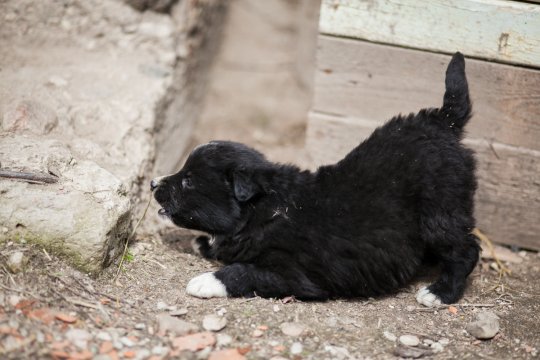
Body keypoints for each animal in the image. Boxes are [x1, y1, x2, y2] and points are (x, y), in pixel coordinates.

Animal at [154, 52, 478, 306]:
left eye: (188, 181)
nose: (153, 183)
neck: (264, 211)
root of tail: (442, 121)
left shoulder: (294, 274)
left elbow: (244, 271)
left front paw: (207, 280)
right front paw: (204, 244)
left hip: (440, 211)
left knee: (466, 250)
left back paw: (440, 292)